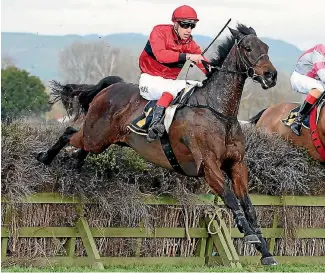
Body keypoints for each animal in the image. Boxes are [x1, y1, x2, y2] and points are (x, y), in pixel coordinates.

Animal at [37, 23, 276, 264]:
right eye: (247, 48)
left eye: (266, 47)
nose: (271, 75)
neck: (218, 112)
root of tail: (111, 86)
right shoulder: (209, 166)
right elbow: (231, 199)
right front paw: (249, 235)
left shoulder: (237, 164)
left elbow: (248, 206)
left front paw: (265, 251)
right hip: (96, 136)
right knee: (68, 133)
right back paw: (45, 157)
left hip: (101, 140)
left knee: (81, 147)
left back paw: (75, 165)